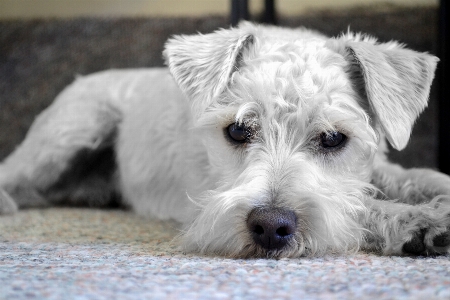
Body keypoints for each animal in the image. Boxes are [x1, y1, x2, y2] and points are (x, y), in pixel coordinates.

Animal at [0, 22, 450, 258]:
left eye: (333, 138)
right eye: (237, 129)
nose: (270, 227)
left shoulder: (377, 169)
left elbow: (414, 177)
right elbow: (362, 208)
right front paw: (421, 222)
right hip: (70, 133)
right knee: (14, 173)